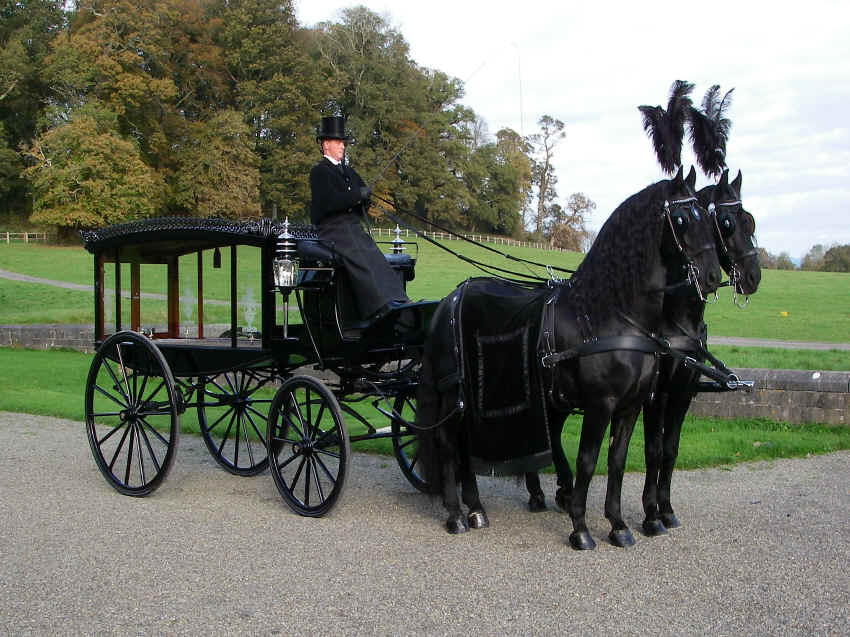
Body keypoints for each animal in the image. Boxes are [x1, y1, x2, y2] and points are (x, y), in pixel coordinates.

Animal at [414, 164, 720, 548]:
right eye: (681, 218)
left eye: (706, 218)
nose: (713, 275)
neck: (612, 316)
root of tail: (449, 300)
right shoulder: (600, 403)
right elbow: (588, 461)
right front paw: (581, 528)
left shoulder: (632, 404)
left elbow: (617, 461)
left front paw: (618, 525)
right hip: (453, 394)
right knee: (447, 442)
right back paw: (456, 514)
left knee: (466, 443)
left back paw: (476, 509)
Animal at [640, 166, 760, 536]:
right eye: (727, 223)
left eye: (750, 221)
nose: (754, 276)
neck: (678, 320)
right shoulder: (658, 394)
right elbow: (653, 450)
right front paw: (650, 516)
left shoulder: (683, 392)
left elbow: (670, 450)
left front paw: (665, 509)